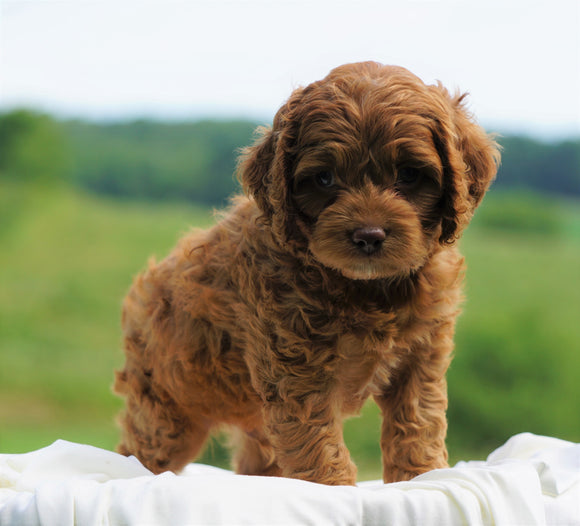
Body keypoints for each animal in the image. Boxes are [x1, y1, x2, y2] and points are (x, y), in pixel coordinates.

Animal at [113, 62, 498, 486]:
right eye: (325, 179)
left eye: (410, 175)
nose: (368, 236)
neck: (366, 287)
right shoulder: (295, 367)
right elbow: (316, 441)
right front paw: (335, 488)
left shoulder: (421, 357)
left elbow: (417, 423)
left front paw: (422, 477)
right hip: (168, 404)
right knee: (142, 449)